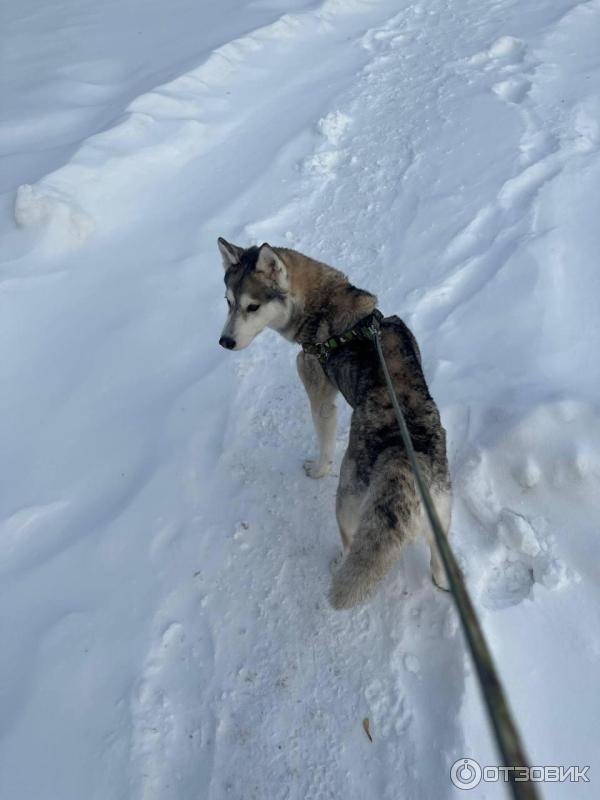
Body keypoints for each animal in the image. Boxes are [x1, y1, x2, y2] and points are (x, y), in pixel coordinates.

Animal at [219, 238, 450, 608]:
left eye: (252, 307)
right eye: (227, 302)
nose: (224, 342)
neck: (326, 306)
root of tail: (401, 458)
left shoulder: (318, 392)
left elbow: (324, 443)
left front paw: (317, 469)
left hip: (346, 503)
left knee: (349, 539)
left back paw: (340, 561)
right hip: (441, 517)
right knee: (441, 569)